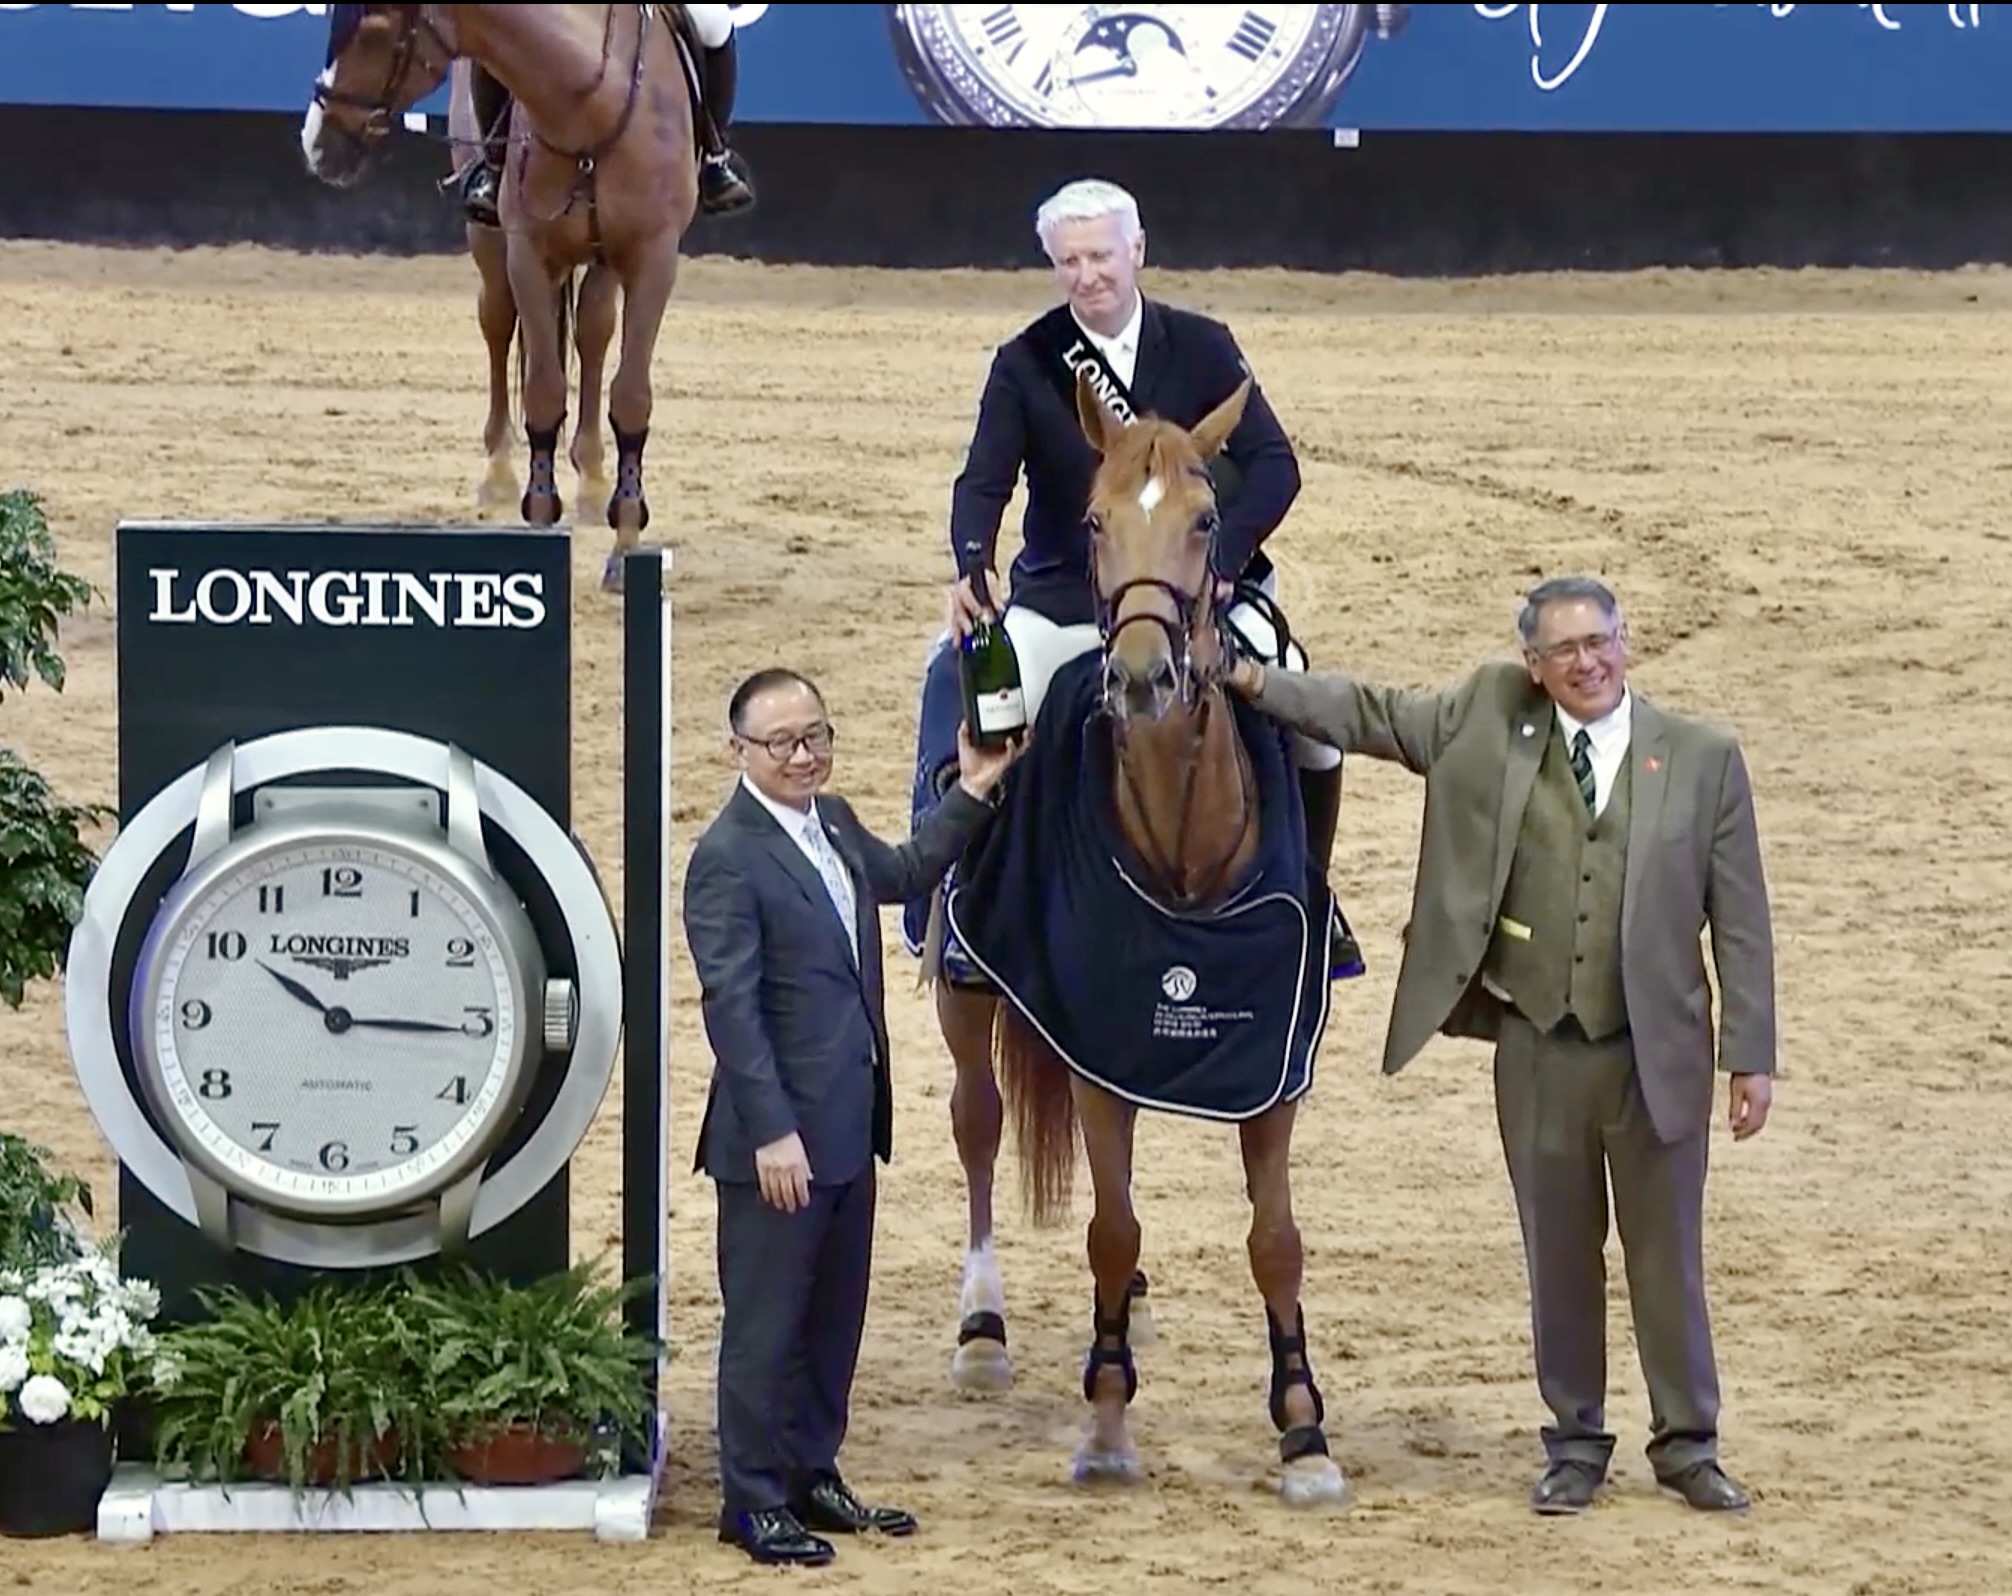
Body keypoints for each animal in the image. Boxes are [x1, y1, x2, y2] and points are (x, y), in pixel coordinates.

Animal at [930, 365, 1348, 1507]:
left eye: (1207, 520)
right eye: (1092, 519)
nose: (1147, 678)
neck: (1180, 838)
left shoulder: (1272, 1064)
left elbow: (1276, 1239)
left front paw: (1303, 1428)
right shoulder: (1093, 1050)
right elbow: (1108, 1230)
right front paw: (1108, 1423)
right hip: (961, 989)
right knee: (976, 1120)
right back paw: (982, 1326)